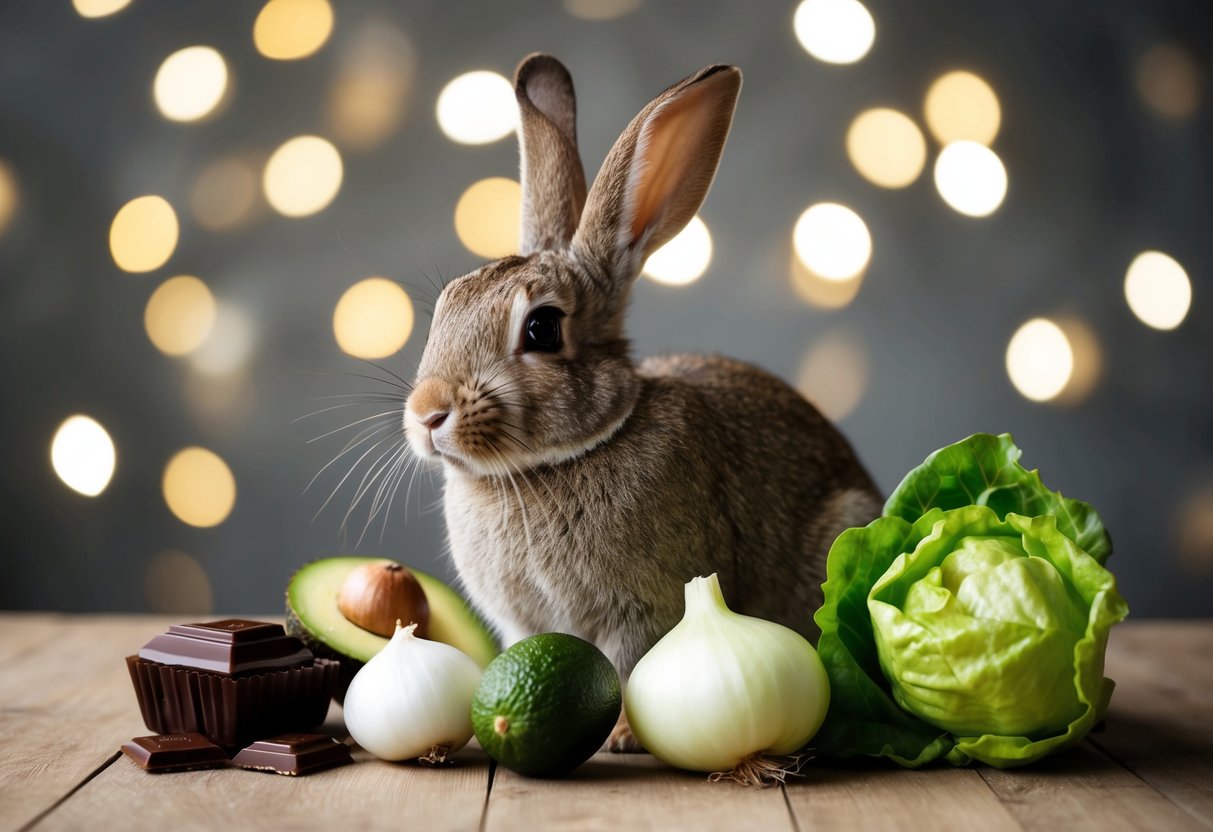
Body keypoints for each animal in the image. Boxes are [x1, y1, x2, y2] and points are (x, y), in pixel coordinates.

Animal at [403, 54, 882, 750]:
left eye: (541, 329)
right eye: (445, 307)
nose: (426, 414)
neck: (564, 459)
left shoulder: (644, 610)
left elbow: (629, 669)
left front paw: (625, 735)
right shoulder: (523, 622)